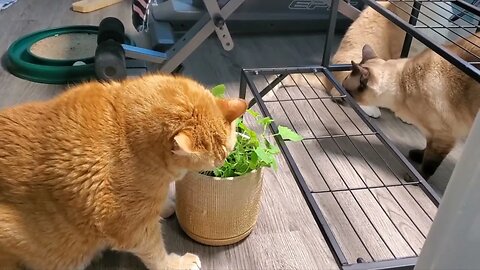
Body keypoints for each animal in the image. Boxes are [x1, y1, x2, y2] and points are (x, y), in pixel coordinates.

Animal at [0, 74, 248, 270]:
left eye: (227, 153)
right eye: (220, 157)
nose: (224, 162)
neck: (123, 129)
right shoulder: (132, 229)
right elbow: (157, 255)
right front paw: (178, 264)